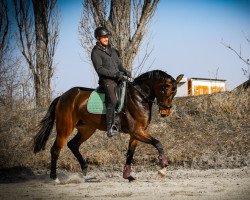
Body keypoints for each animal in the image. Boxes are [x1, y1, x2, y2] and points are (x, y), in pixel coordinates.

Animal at [33, 69, 184, 180]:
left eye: (174, 91)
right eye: (164, 89)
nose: (165, 112)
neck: (139, 97)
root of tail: (62, 97)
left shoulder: (136, 133)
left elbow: (130, 153)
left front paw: (127, 176)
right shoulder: (137, 131)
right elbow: (158, 143)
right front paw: (163, 167)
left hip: (87, 129)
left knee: (73, 144)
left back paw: (84, 168)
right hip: (65, 129)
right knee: (55, 149)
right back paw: (54, 177)